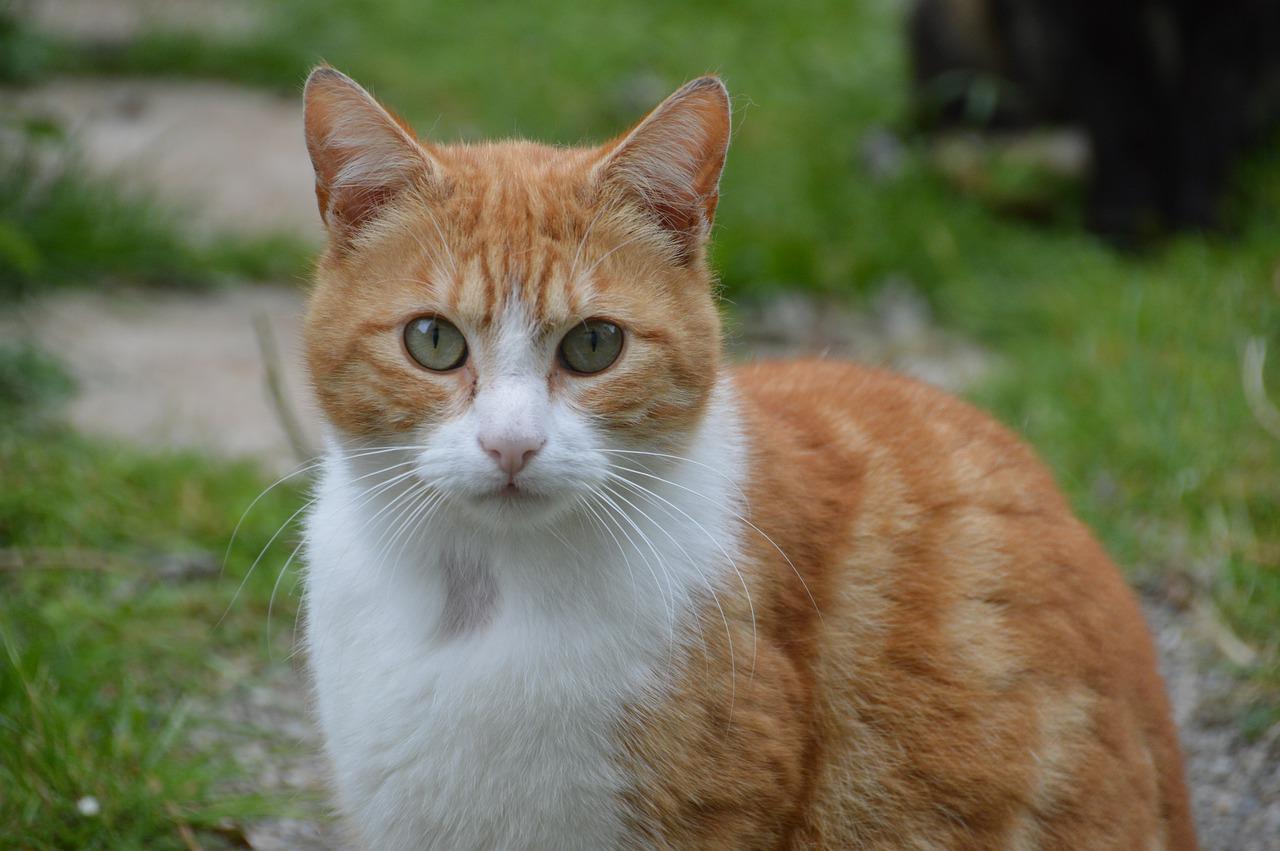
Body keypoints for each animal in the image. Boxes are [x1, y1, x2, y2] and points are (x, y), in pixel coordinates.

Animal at [911, 0, 1280, 240]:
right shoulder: (1093, 24)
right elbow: (1121, 116)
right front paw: (1123, 225)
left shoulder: (1236, 20)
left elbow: (1212, 110)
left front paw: (1204, 224)